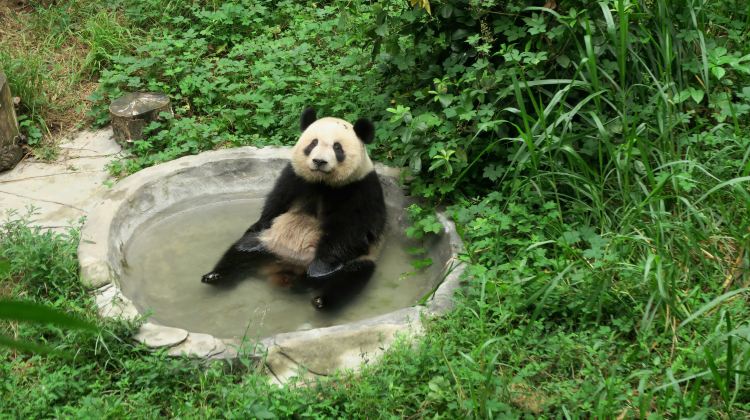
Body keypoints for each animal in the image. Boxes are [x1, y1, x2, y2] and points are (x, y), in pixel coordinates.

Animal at [201, 107, 387, 310]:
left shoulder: (361, 188)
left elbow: (353, 231)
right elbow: (276, 204)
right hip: (268, 243)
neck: (323, 183)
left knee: (349, 278)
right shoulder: (294, 177)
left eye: (337, 148)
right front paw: (258, 223)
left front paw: (320, 267)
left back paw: (318, 297)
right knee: (240, 251)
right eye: (313, 143)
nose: (319, 161)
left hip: (358, 261)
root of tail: (283, 270)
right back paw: (215, 276)